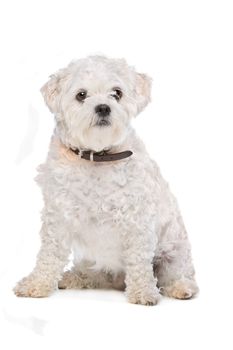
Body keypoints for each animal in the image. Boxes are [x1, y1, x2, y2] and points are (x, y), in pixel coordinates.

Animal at [13, 55, 198, 306]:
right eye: (81, 95)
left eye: (117, 93)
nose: (103, 107)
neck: (98, 156)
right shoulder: (58, 217)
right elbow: (49, 254)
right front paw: (36, 283)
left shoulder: (137, 220)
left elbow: (139, 261)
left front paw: (142, 292)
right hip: (95, 261)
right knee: (95, 274)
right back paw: (73, 278)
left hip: (174, 251)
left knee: (176, 274)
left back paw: (181, 287)